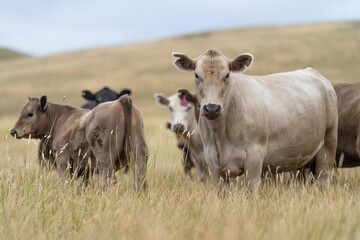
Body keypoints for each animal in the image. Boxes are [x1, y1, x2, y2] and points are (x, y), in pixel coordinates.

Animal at [10, 94, 148, 190]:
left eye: (30, 114)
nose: (13, 131)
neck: (59, 120)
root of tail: (120, 100)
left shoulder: (62, 159)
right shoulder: (84, 169)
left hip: (105, 161)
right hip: (139, 155)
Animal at [173, 49, 338, 192]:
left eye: (227, 75)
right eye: (196, 75)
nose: (212, 108)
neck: (220, 135)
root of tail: (314, 73)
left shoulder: (254, 159)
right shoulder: (213, 164)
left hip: (328, 145)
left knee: (324, 178)